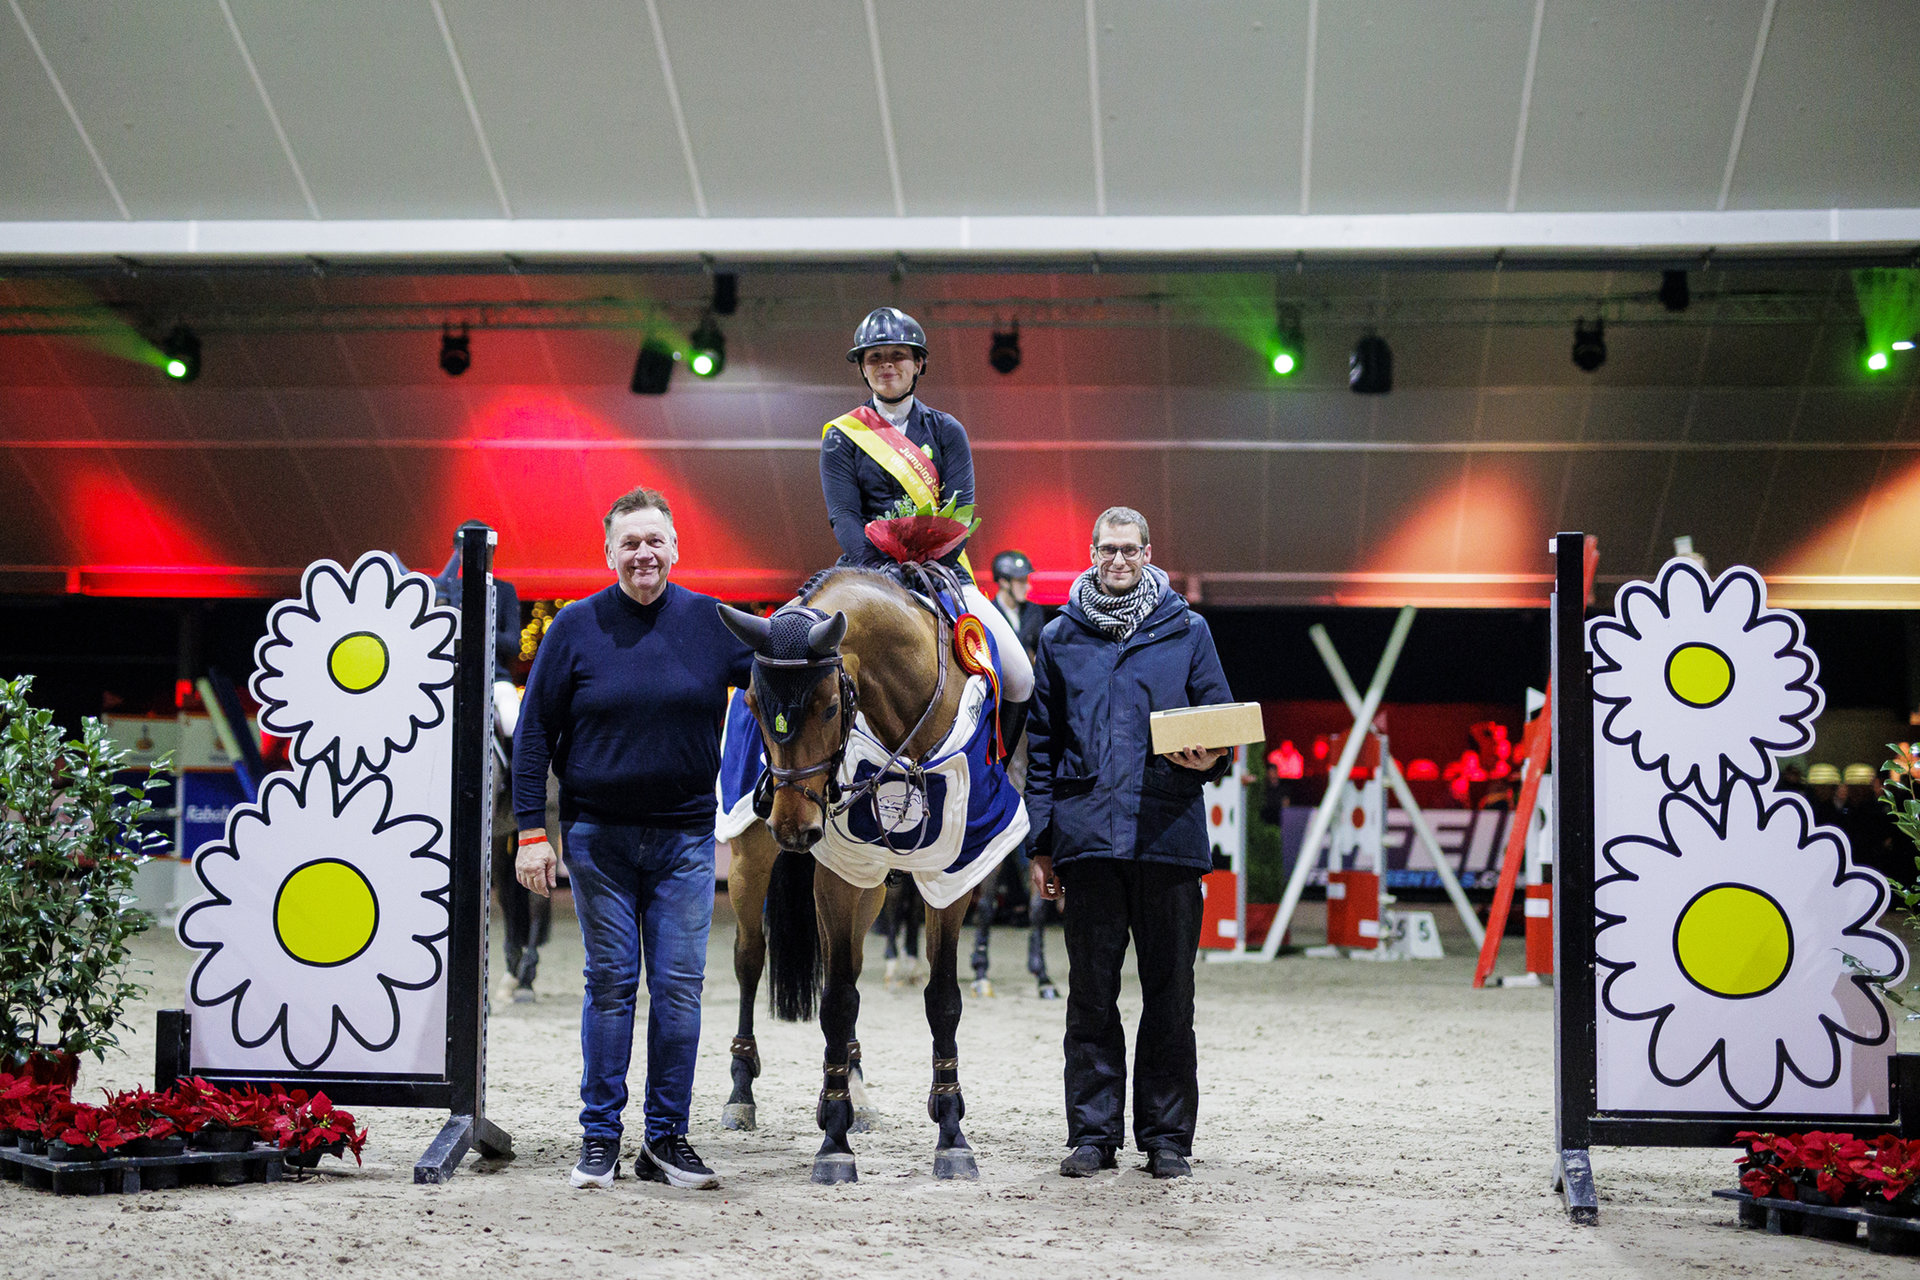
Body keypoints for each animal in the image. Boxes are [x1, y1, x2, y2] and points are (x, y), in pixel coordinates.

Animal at [721, 564, 990, 1189]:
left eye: (826, 706)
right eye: (753, 703)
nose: (792, 827)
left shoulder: (954, 873)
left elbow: (942, 998)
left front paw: (951, 1131)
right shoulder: (837, 878)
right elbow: (837, 999)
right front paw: (833, 1143)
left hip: (870, 889)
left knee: (854, 965)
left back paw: (851, 1086)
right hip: (750, 861)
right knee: (750, 958)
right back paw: (742, 1091)